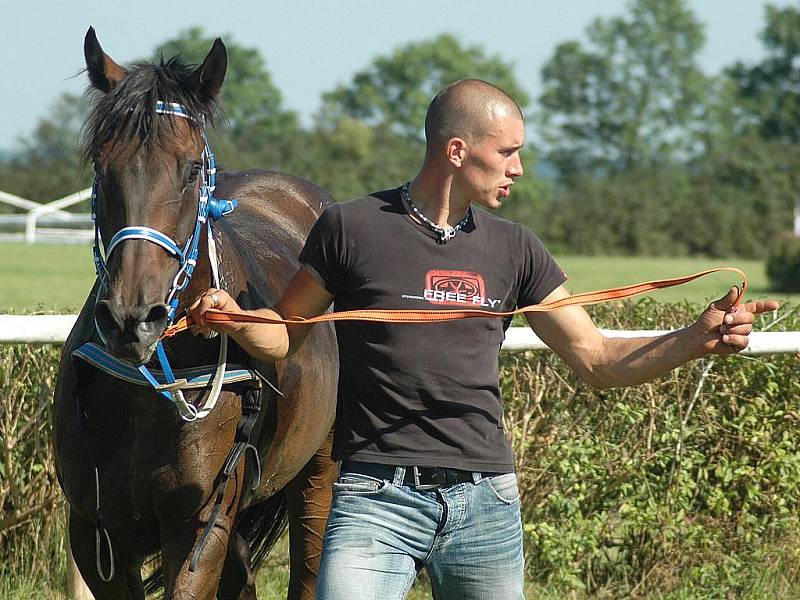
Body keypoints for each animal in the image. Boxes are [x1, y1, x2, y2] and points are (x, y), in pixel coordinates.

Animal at [53, 28, 340, 600]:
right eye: (102, 165)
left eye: (190, 169)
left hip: (320, 471)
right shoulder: (96, 533)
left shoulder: (198, 527)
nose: (132, 318)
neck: (147, 392)